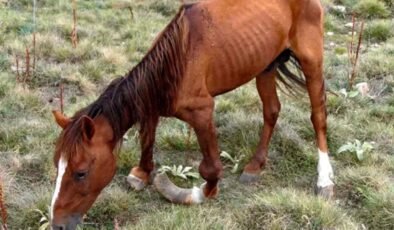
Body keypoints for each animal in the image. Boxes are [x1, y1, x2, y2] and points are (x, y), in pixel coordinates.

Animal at [48, 0, 332, 228]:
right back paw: (255, 166)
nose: (58, 224)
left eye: (81, 172)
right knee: (271, 111)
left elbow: (211, 169)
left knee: (318, 115)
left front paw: (192, 193)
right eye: (57, 166)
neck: (176, 62)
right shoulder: (150, 104)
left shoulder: (202, 112)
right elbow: (147, 140)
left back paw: (325, 179)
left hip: (311, 60)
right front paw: (142, 173)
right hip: (265, 65)